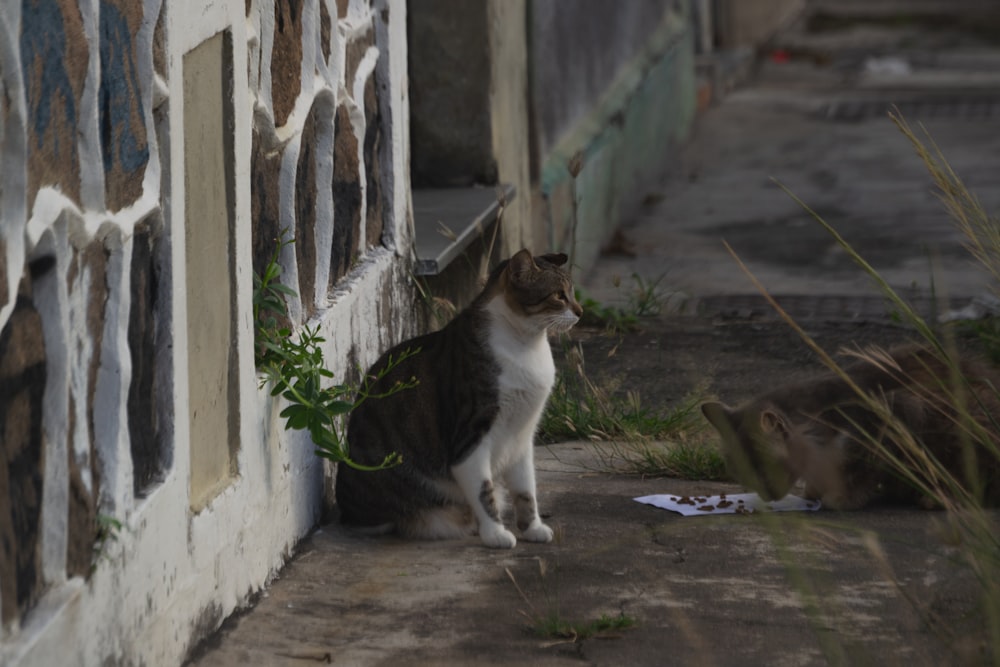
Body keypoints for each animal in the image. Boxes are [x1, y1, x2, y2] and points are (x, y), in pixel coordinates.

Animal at [336, 250, 584, 548]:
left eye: (572, 291)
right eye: (559, 295)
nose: (581, 312)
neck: (526, 345)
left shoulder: (522, 438)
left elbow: (526, 490)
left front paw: (532, 529)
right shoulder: (470, 437)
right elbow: (484, 490)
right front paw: (496, 534)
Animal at [700, 348, 1000, 508]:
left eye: (765, 468)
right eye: (742, 472)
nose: (766, 496)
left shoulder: (891, 417)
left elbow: (859, 470)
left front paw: (840, 497)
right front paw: (815, 489)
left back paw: (936, 496)